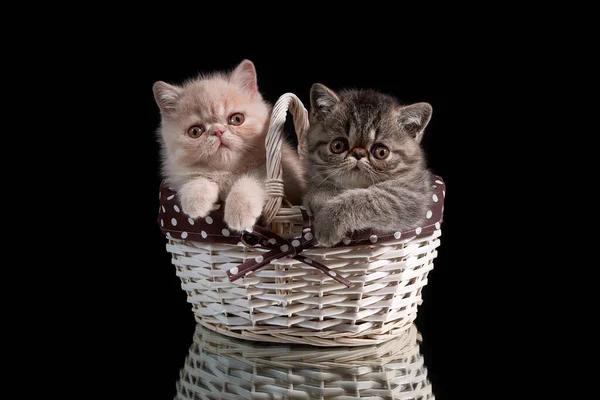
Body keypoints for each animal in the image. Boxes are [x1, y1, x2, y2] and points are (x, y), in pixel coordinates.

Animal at [152, 59, 308, 231]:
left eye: (237, 119)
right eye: (195, 131)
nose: (218, 131)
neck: (227, 173)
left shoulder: (286, 177)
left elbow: (251, 180)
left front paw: (240, 211)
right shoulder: (177, 176)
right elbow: (196, 177)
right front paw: (195, 199)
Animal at [302, 83, 434, 247]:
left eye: (381, 152)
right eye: (338, 146)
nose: (358, 153)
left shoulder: (411, 194)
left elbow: (369, 198)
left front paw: (328, 222)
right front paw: (320, 194)